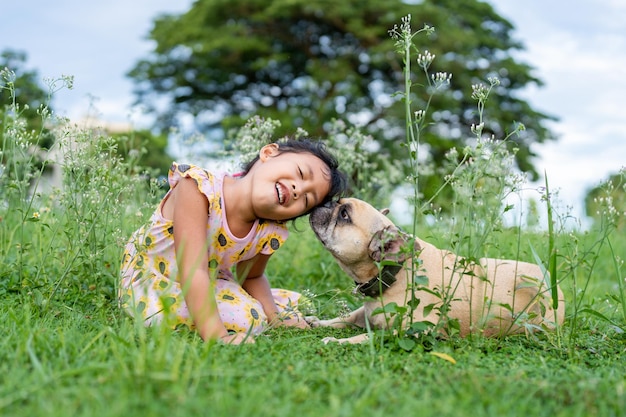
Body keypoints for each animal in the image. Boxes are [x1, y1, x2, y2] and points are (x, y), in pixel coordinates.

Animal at [304, 197, 564, 342]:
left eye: (344, 215)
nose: (325, 202)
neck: (396, 271)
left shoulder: (410, 331)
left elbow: (368, 336)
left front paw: (336, 341)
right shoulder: (365, 313)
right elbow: (347, 317)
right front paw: (318, 322)